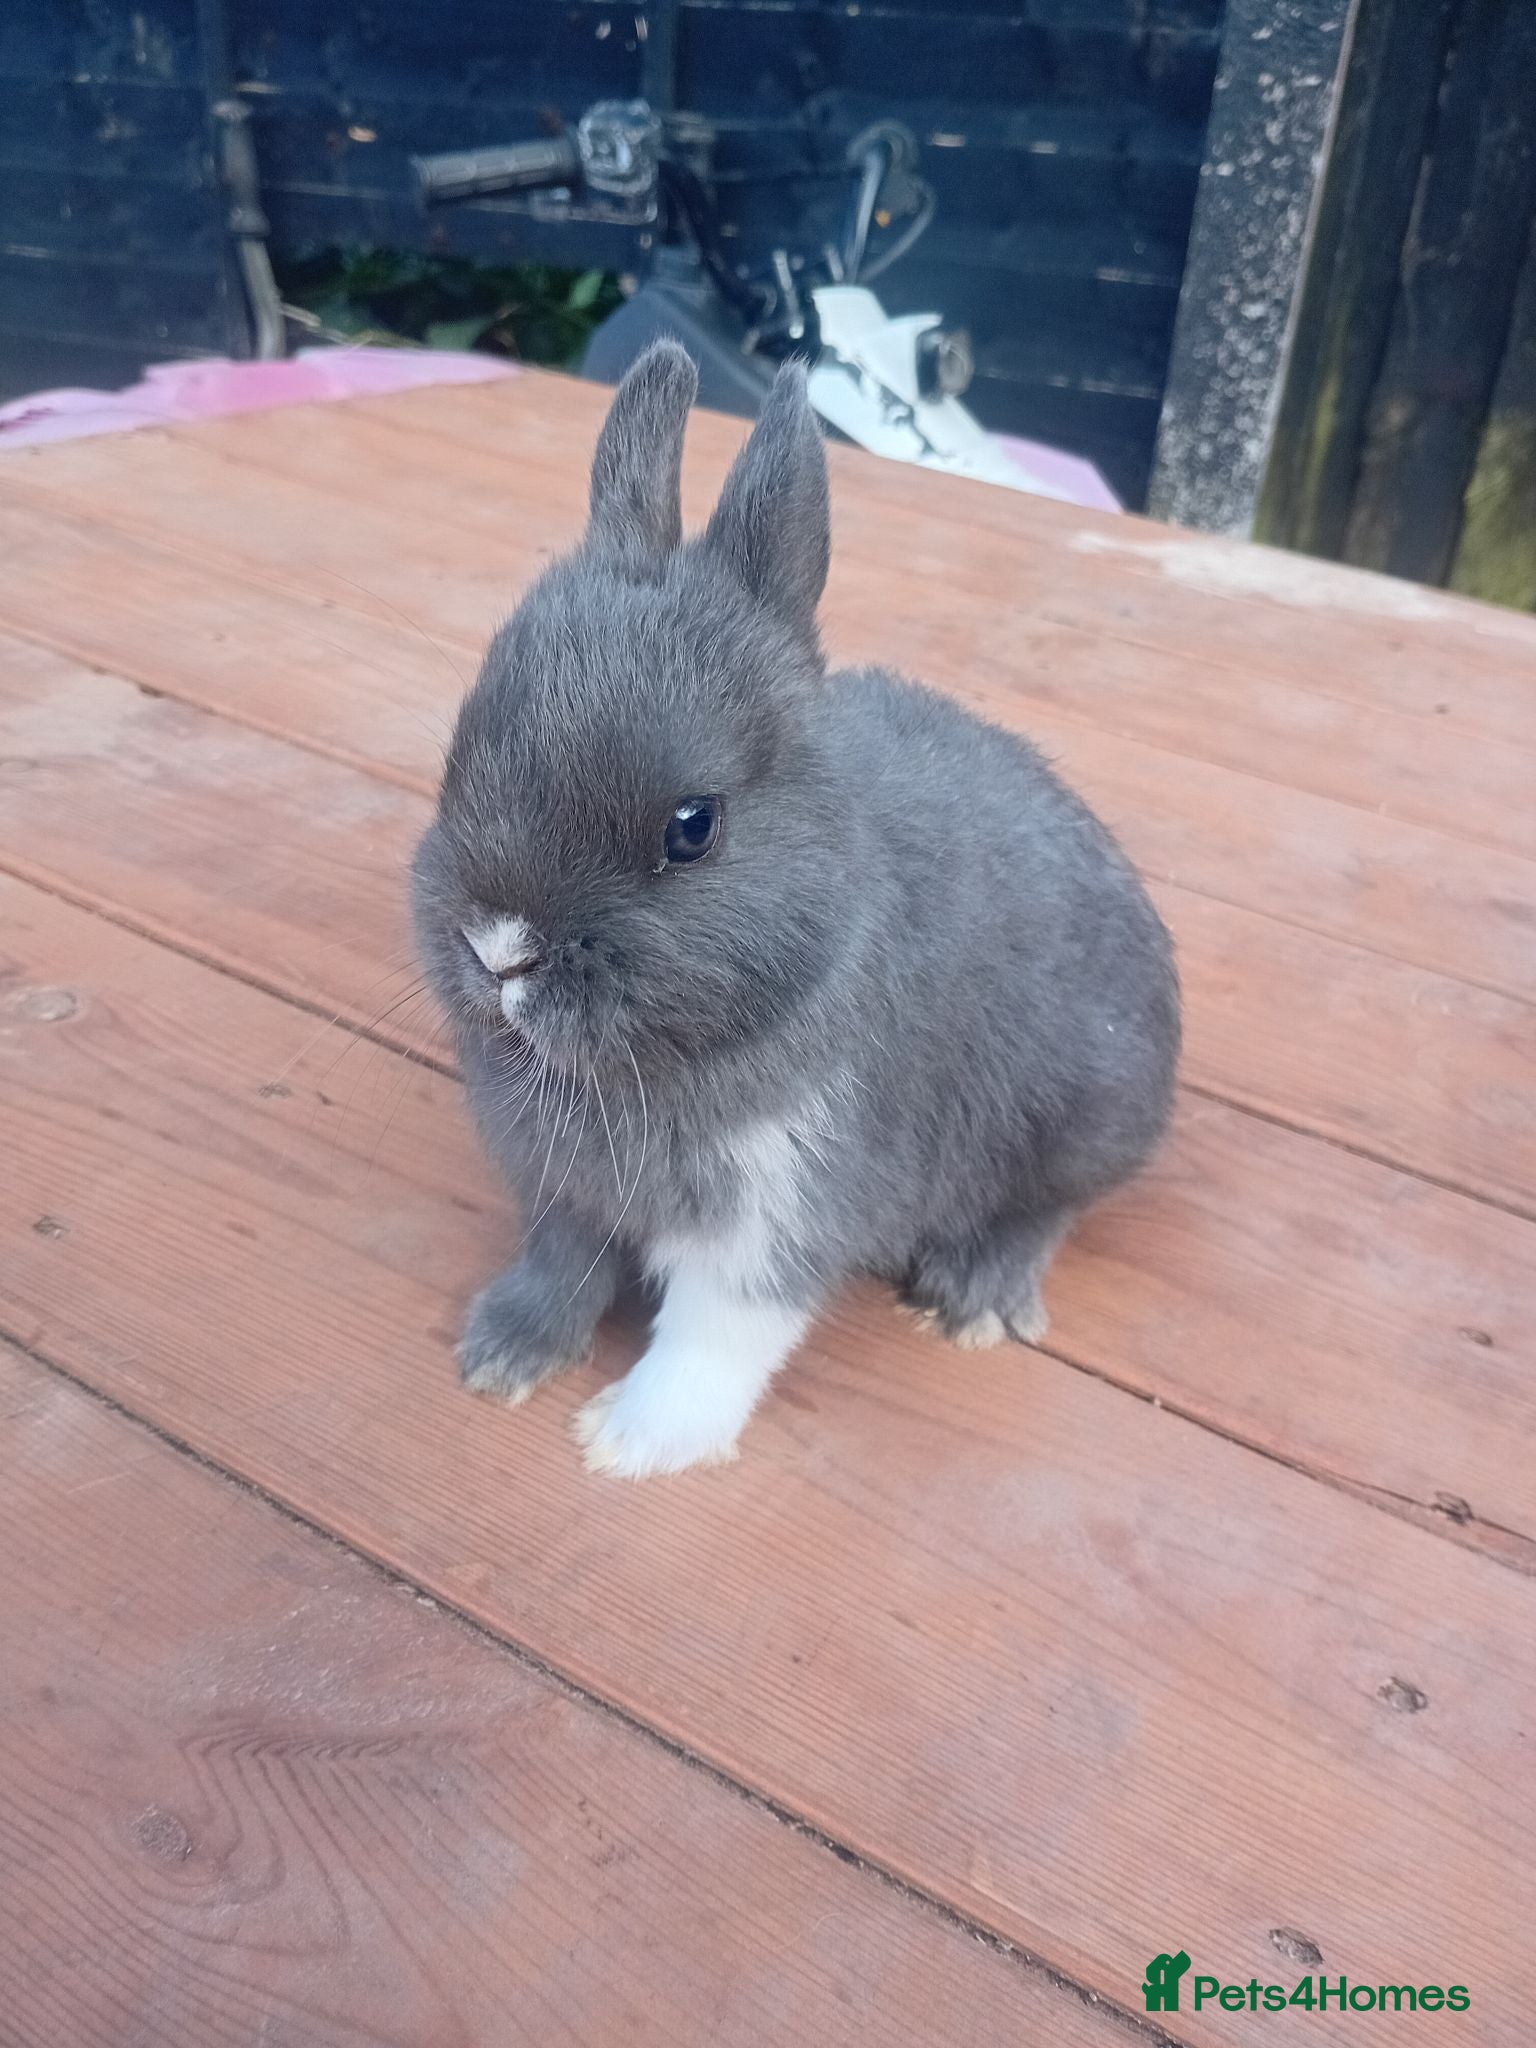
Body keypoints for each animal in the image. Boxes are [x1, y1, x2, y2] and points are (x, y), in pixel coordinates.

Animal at [412, 340, 1179, 1478]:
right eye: (460, 752)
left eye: (693, 826)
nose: (499, 947)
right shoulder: (568, 1192)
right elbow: (561, 1266)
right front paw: (503, 1358)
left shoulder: (782, 1210)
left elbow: (715, 1334)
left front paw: (628, 1442)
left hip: (1086, 1116)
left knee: (1050, 1206)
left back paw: (972, 1300)